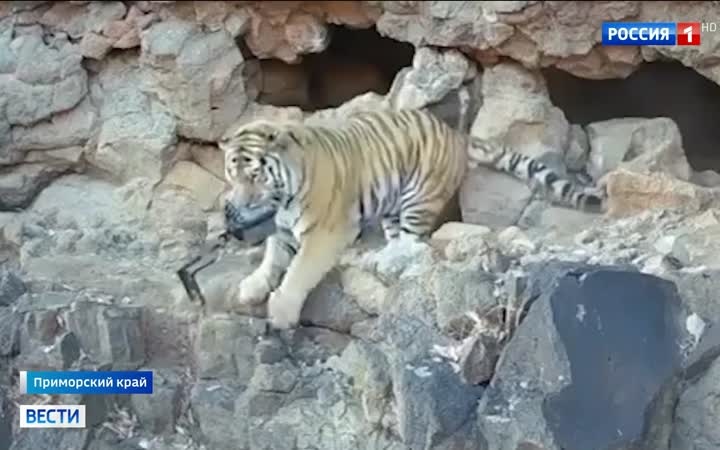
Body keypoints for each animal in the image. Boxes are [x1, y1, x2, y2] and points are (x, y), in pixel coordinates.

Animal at [218, 107, 605, 330]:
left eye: (255, 176)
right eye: (231, 175)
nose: (237, 204)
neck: (283, 195)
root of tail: (456, 133)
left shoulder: (326, 232)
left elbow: (299, 270)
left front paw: (281, 311)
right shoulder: (283, 227)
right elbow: (272, 256)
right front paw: (252, 286)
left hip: (418, 197)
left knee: (415, 245)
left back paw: (388, 261)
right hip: (391, 203)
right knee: (399, 241)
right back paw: (380, 257)